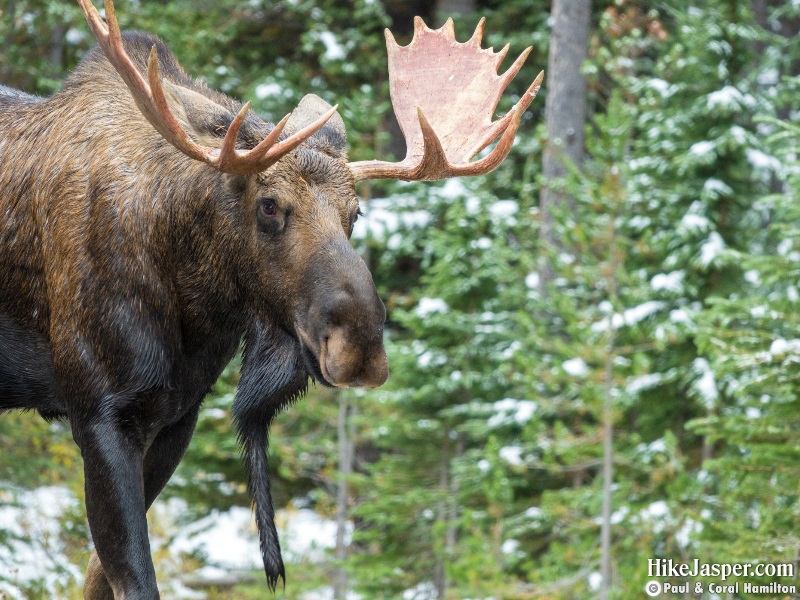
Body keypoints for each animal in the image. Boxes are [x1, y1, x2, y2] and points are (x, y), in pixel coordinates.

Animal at [0, 2, 544, 596]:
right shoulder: (102, 412)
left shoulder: (175, 419)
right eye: (267, 206)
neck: (193, 302)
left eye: (355, 213)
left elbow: (99, 575)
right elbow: (135, 578)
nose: (360, 346)